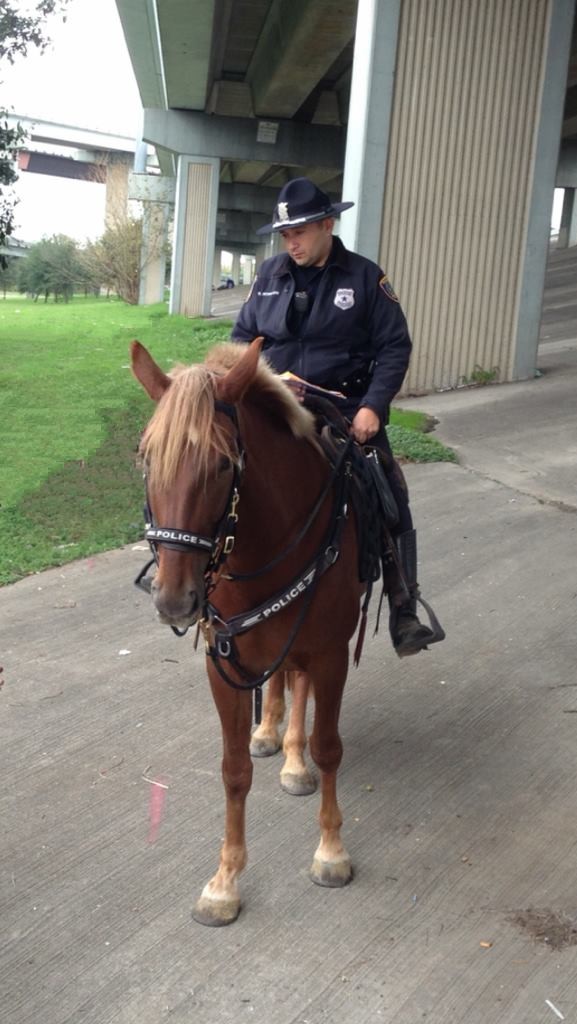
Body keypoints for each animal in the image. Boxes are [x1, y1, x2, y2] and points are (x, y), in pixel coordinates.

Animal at [131, 337, 365, 926]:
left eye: (220, 464)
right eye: (146, 457)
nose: (174, 599)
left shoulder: (330, 653)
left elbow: (329, 747)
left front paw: (331, 851)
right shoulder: (223, 662)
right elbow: (233, 770)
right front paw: (225, 881)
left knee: (299, 688)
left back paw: (294, 757)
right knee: (281, 681)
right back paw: (271, 733)